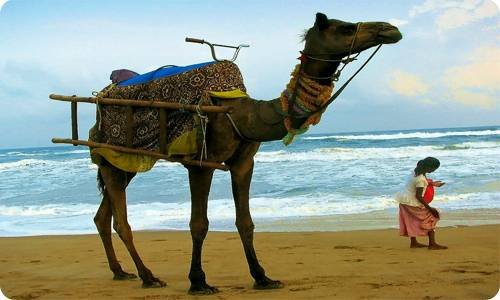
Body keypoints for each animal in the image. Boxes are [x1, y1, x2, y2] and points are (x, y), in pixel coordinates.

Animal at [92, 12, 400, 294]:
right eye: (345, 27)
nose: (390, 28)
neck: (242, 114)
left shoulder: (244, 162)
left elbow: (246, 222)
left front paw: (263, 277)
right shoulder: (202, 163)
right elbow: (199, 224)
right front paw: (198, 281)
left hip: (124, 162)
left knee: (103, 216)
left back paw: (121, 272)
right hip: (110, 156)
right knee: (121, 221)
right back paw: (148, 276)